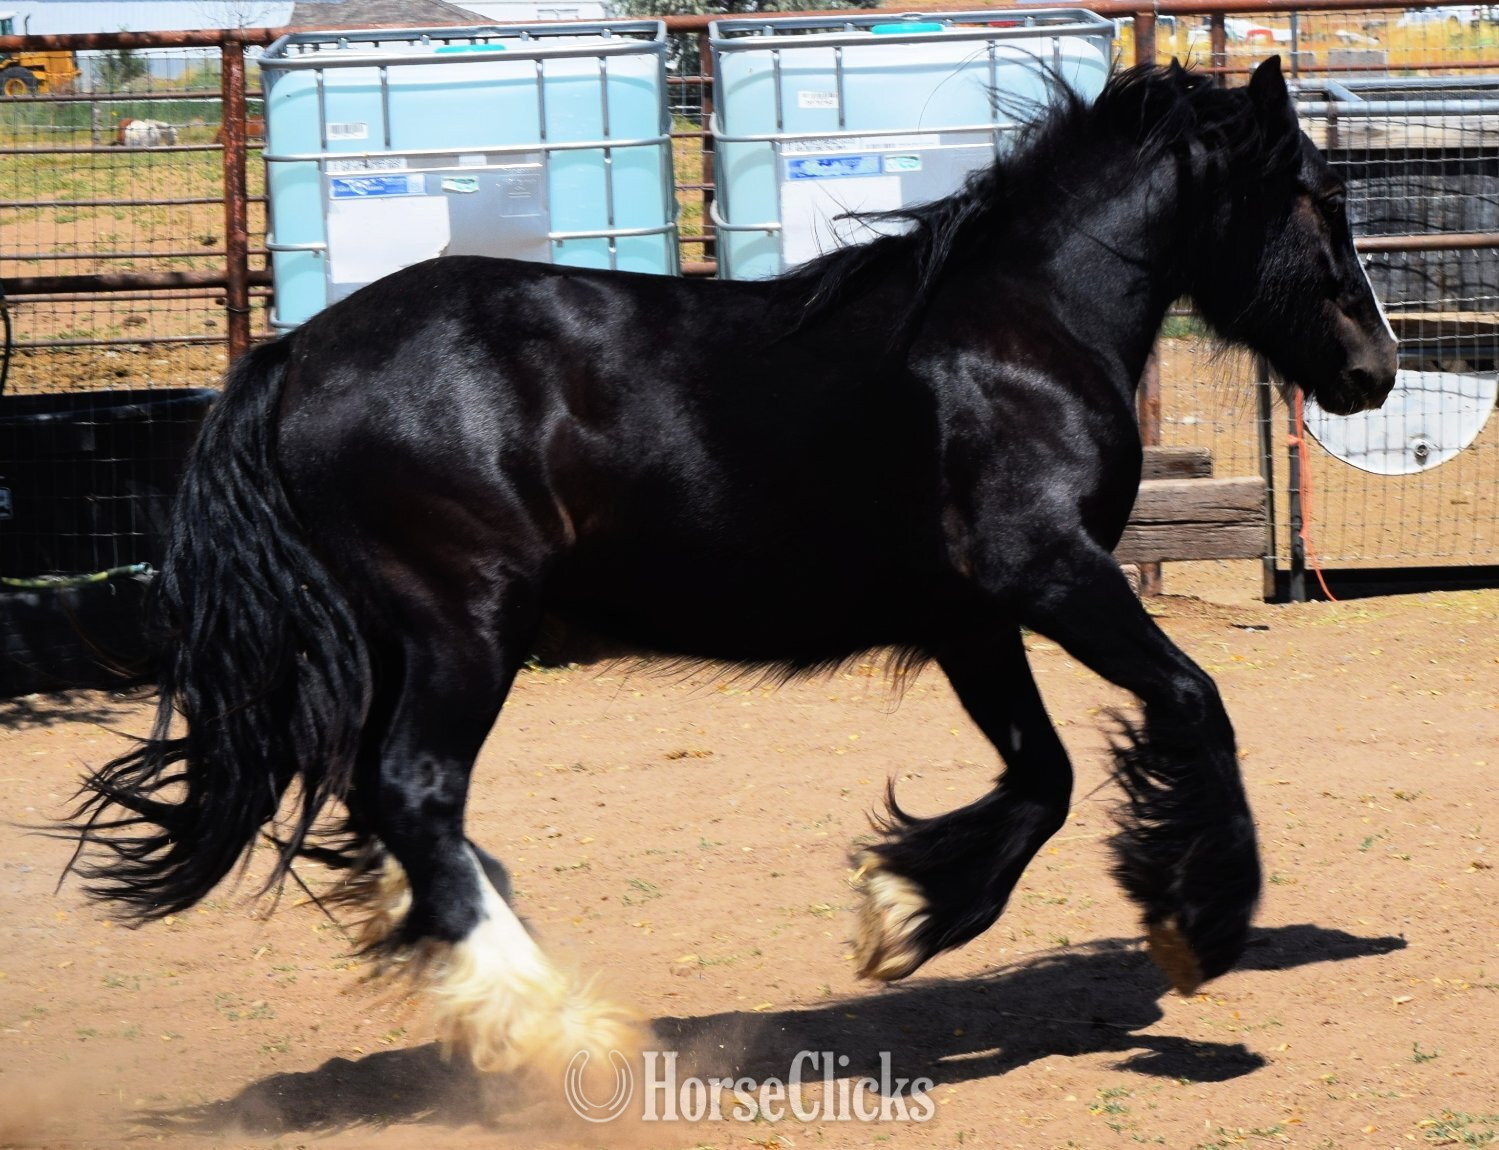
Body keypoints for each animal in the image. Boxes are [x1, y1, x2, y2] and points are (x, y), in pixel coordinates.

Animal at [65, 56, 1396, 1077]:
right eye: (1313, 194)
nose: (1372, 369)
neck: (1019, 335)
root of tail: (293, 354)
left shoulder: (968, 618)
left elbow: (1045, 778)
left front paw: (898, 915)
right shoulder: (1049, 576)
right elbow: (1189, 701)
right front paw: (1196, 926)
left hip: (400, 636)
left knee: (379, 801)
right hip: (464, 624)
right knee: (411, 792)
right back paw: (554, 1022)